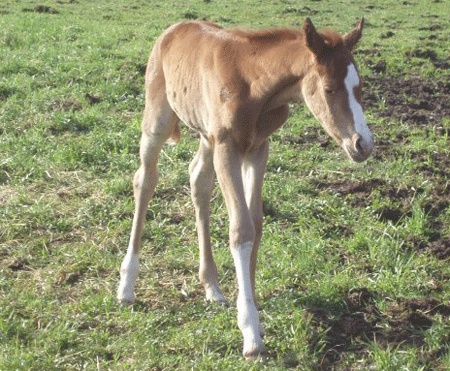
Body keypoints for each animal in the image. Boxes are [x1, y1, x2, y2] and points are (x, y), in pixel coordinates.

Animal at [117, 18, 372, 360]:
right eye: (329, 89)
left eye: (360, 87)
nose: (363, 144)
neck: (256, 86)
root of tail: (175, 27)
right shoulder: (228, 148)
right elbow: (241, 230)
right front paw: (250, 331)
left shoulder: (258, 147)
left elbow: (257, 222)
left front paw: (252, 316)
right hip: (158, 117)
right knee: (145, 180)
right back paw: (126, 285)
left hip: (206, 135)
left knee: (198, 180)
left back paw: (211, 285)